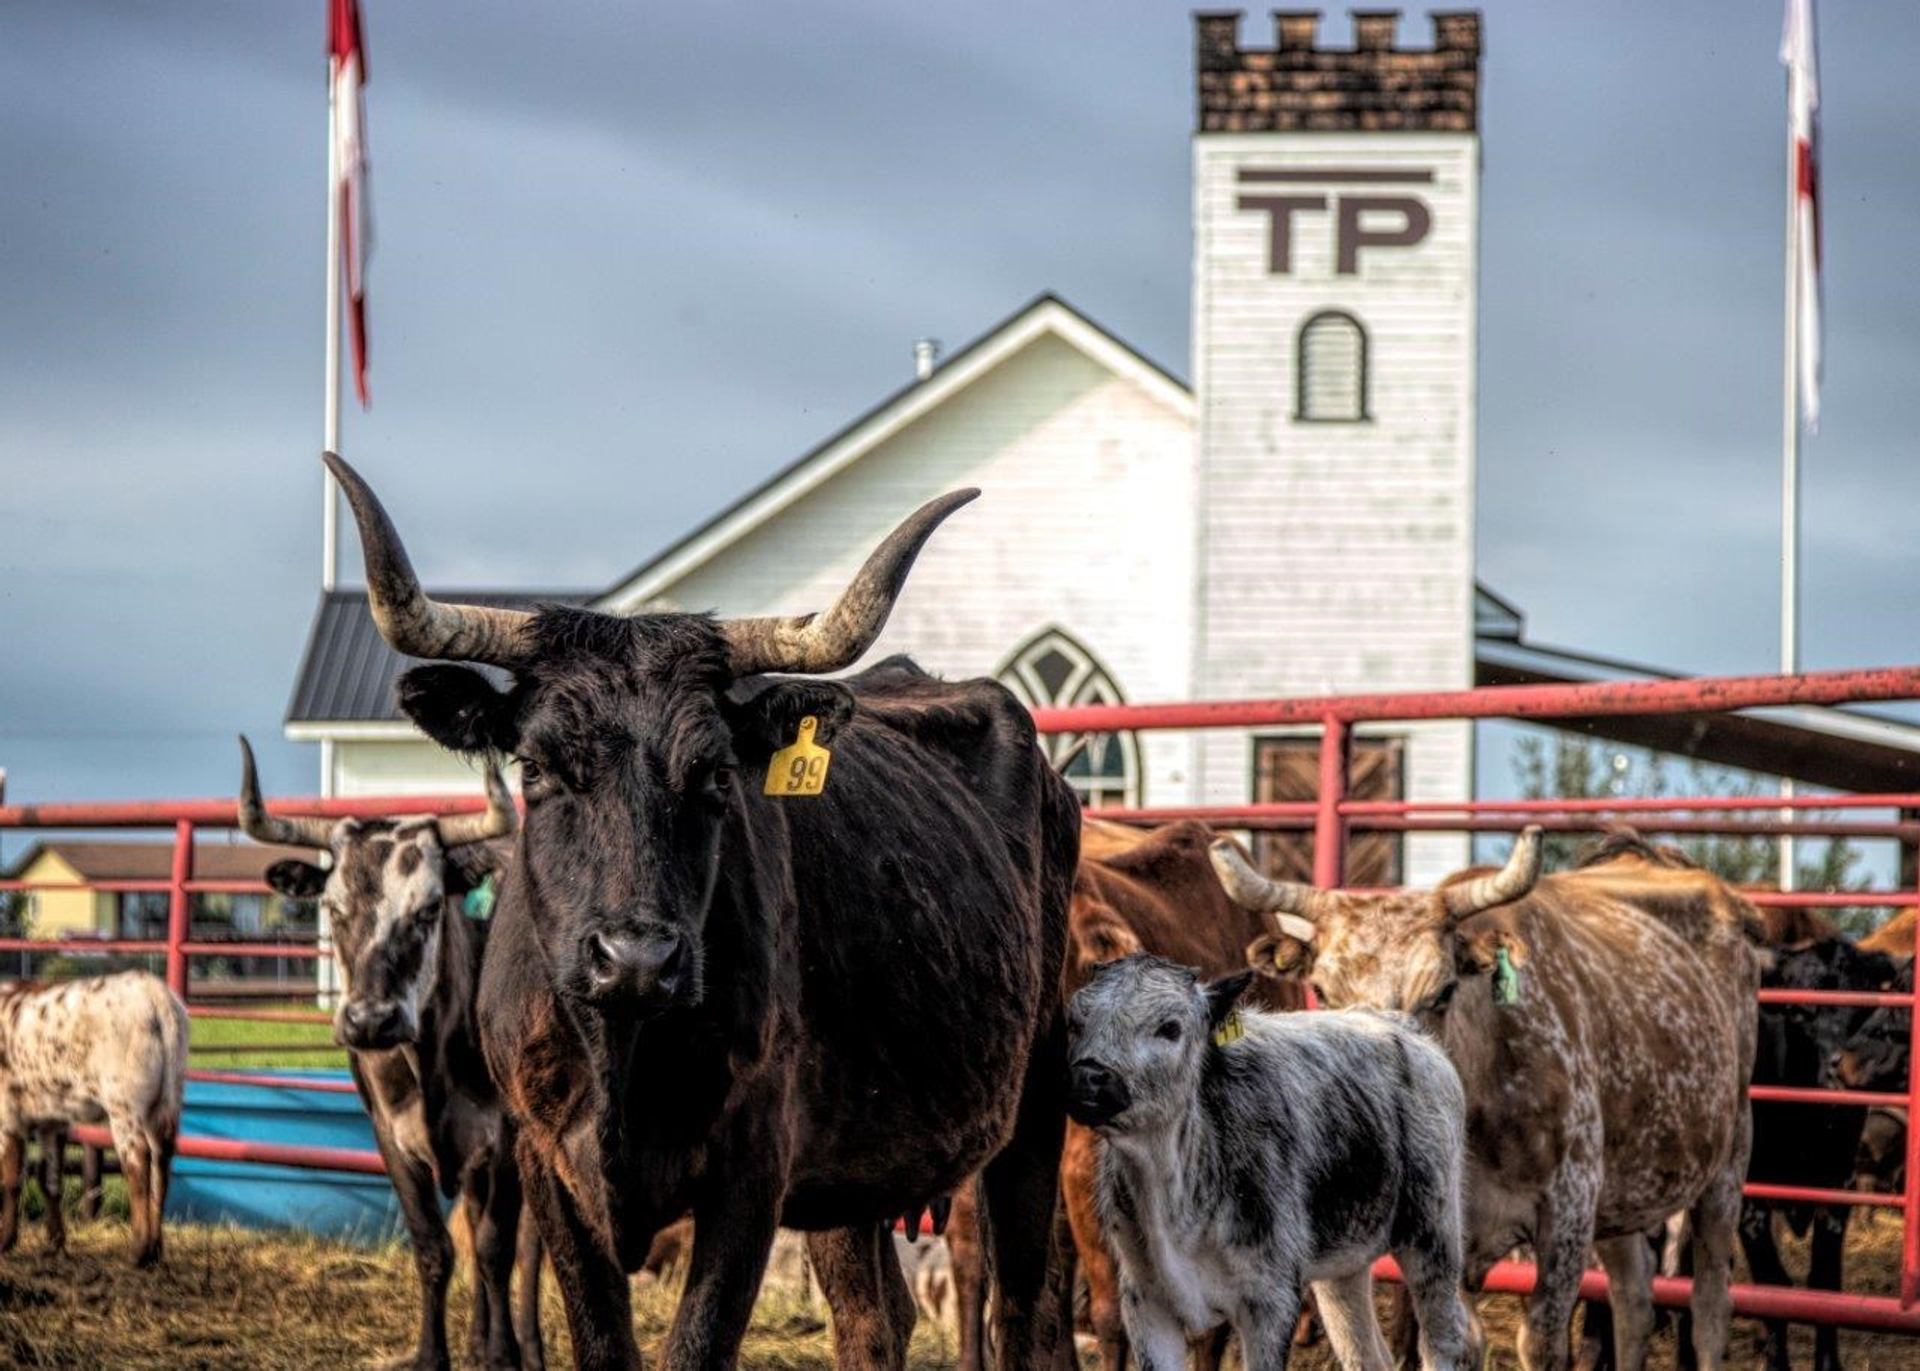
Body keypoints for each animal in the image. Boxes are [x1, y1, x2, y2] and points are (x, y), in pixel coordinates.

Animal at [0, 971, 186, 1267]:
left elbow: (11, 1179)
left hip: (124, 1105)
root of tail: (153, 993)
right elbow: (49, 1178)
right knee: (161, 1164)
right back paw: (155, 1250)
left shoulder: (8, 1113)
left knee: (138, 1164)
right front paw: (55, 1244)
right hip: (167, 1100)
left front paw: (6, 1241)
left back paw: (138, 1251)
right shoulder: (53, 1118)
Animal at [238, 738, 544, 1371]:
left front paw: (504, 1355)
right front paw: (437, 1354)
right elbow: (435, 1248)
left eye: (429, 909)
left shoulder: (506, 1138)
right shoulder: (391, 1136)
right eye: (333, 909)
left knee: (529, 1245)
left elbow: (497, 1249)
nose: (370, 1020)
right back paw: (477, 1338)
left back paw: (528, 1345)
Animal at [325, 451, 1080, 1371]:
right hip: (854, 1169)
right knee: (874, 1318)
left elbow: (695, 1346)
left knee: (1027, 1311)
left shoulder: (750, 1172)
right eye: (536, 767)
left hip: (1032, 1106)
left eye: (718, 772)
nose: (636, 959)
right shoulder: (544, 1165)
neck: (622, 1055)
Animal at [1066, 954, 1476, 1371]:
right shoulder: (1145, 1302)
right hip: (1344, 1264)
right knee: (1364, 1351)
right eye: (1075, 1021)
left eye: (1170, 1027)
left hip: (1435, 1236)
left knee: (1444, 1339)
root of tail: (1395, 1023)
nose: (1088, 1076)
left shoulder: (1270, 1300)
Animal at [1211, 827, 1763, 1371]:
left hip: (1728, 1161)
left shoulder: (1568, 1210)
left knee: (1710, 1308)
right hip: (1626, 1190)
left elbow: (1540, 1344)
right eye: (1322, 991)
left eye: (1442, 991)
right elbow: (1460, 1343)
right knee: (1633, 1299)